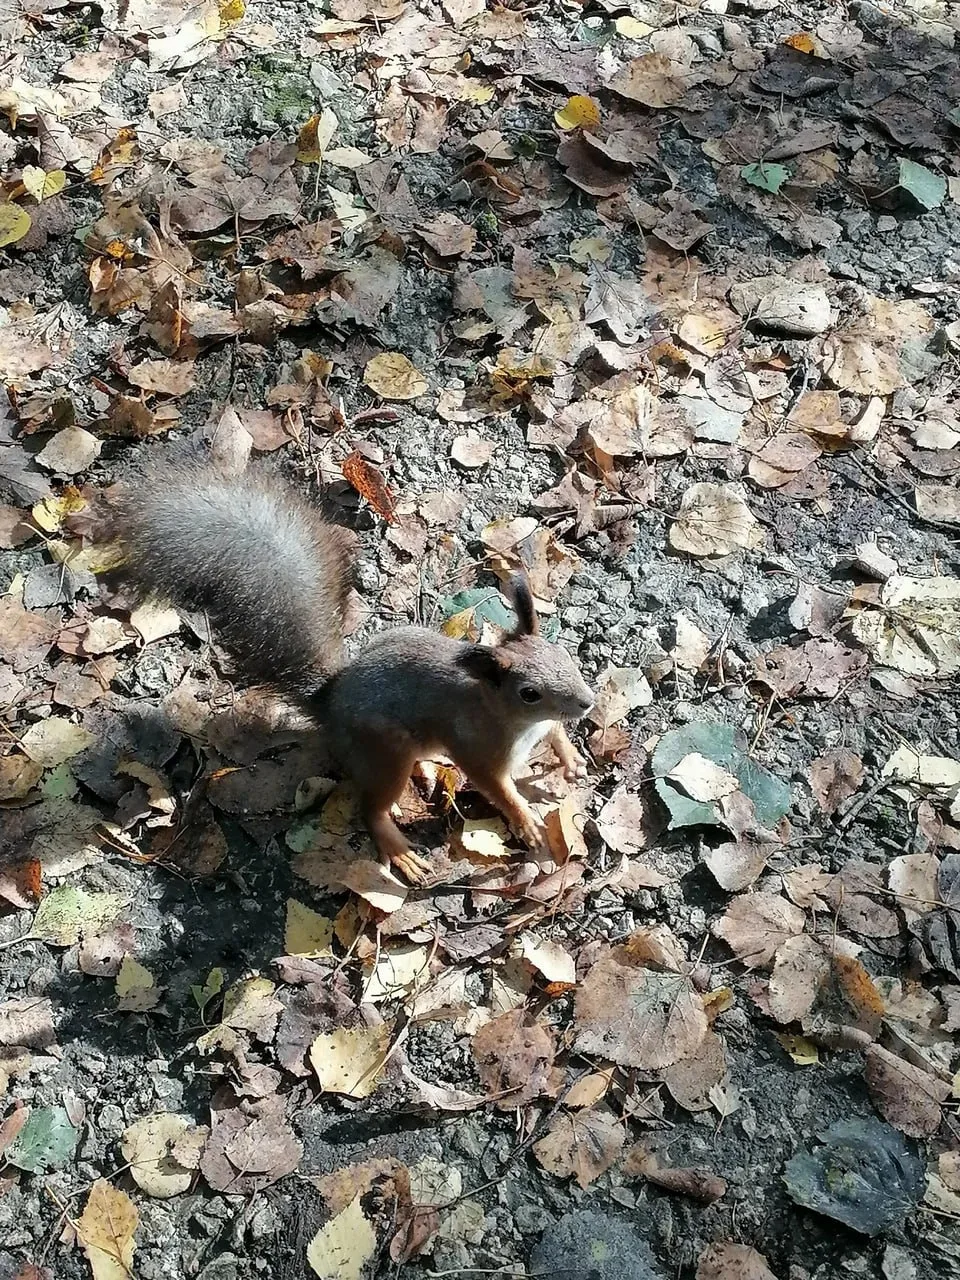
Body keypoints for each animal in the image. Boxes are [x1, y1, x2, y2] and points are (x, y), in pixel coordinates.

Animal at [103, 452, 596, 883]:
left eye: (565, 657)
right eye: (528, 693)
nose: (588, 703)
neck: (505, 715)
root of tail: (331, 705)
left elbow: (555, 732)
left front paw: (570, 760)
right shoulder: (479, 750)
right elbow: (497, 787)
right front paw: (526, 820)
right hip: (385, 751)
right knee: (371, 807)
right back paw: (398, 847)